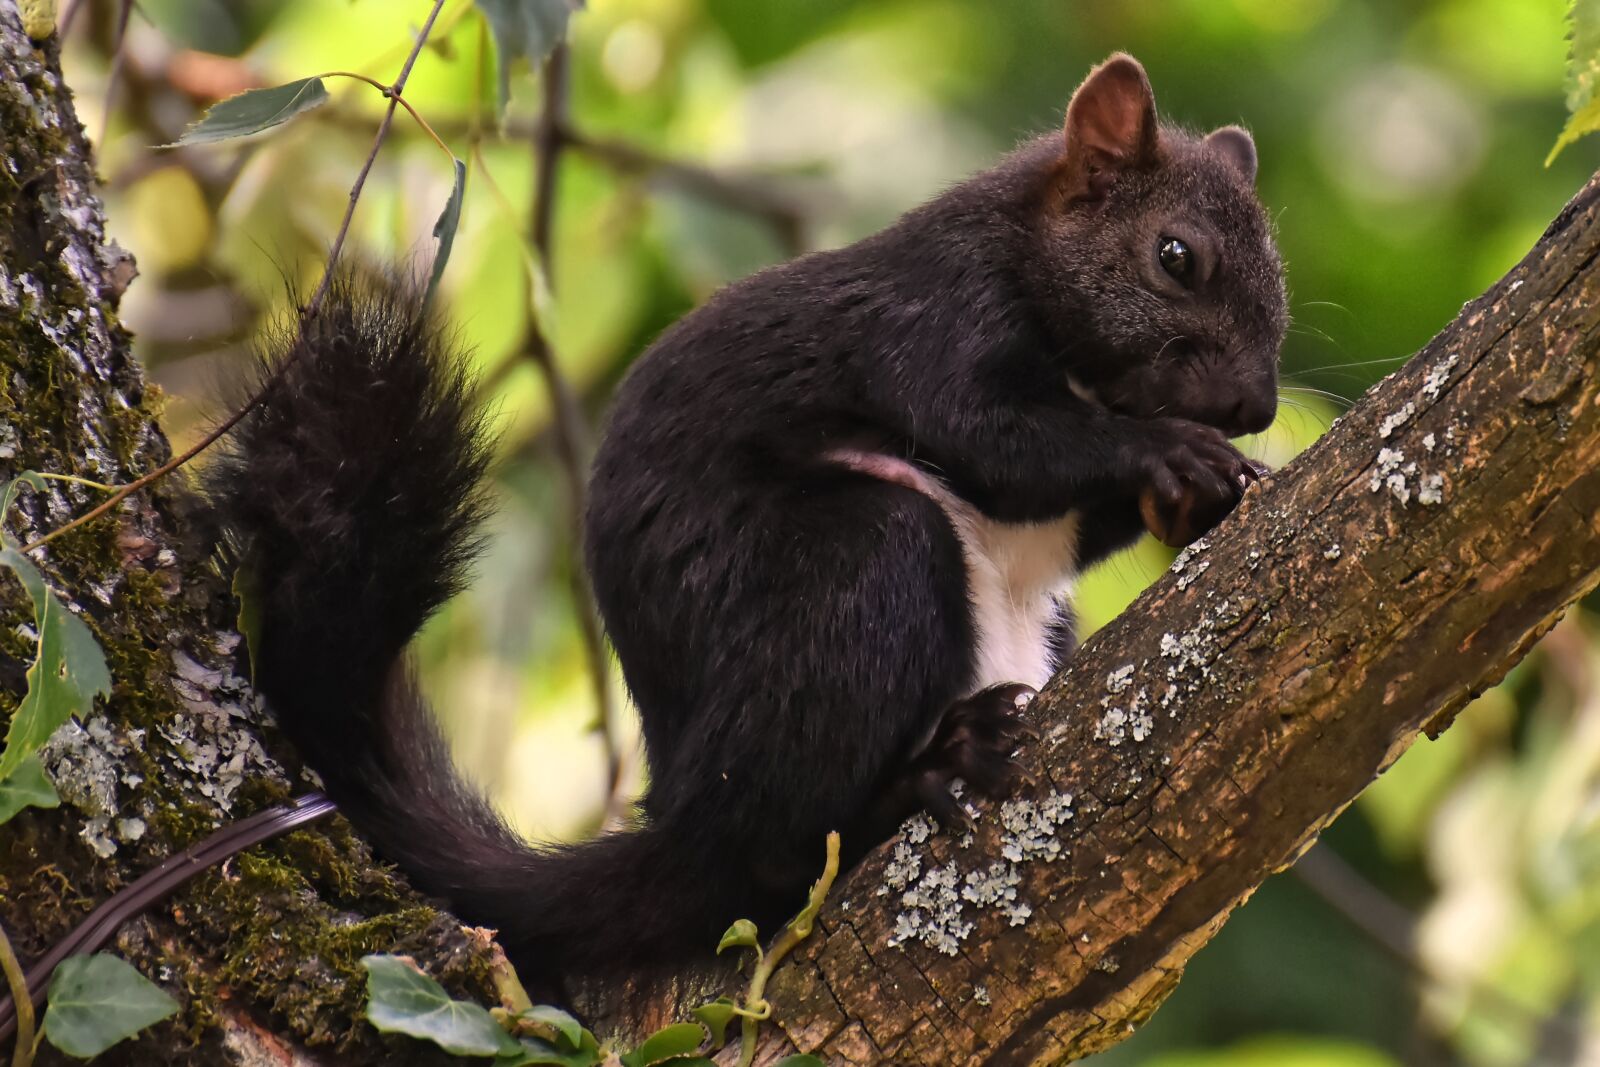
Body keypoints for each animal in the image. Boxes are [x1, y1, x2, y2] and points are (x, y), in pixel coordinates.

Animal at [209, 53, 1286, 991]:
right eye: (1176, 257)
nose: (1254, 405)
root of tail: (682, 817)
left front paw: (1206, 489)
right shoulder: (932, 323)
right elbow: (1002, 440)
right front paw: (1169, 452)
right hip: (858, 570)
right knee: (769, 857)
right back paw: (923, 772)